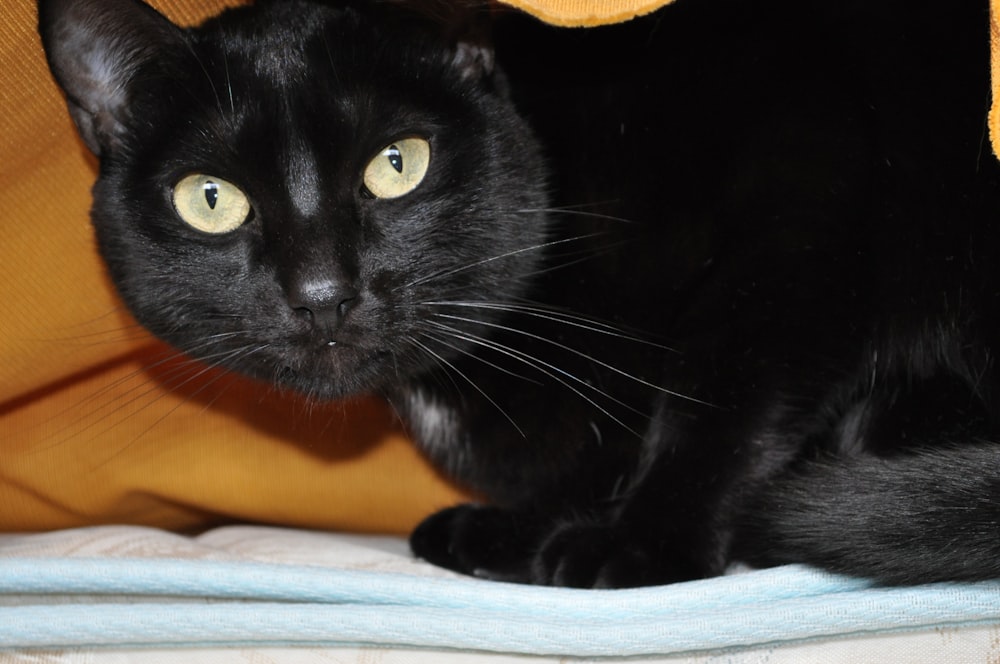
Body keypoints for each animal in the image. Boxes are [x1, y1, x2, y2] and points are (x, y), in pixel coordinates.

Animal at [39, 0, 1000, 588]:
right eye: (211, 199)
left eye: (398, 164)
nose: (323, 292)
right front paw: (511, 530)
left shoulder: (804, 168)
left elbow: (719, 392)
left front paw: (639, 541)